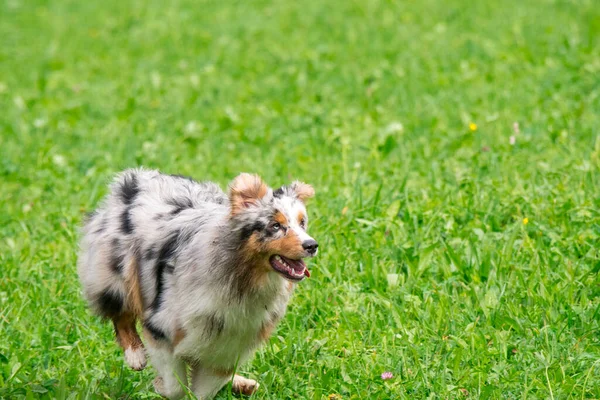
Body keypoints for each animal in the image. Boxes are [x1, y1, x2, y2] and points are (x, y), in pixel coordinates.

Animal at [78, 168, 318, 396]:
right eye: (276, 226)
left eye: (302, 223)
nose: (312, 245)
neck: (240, 279)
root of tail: (137, 178)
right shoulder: (161, 328)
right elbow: (175, 386)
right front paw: (159, 384)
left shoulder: (228, 347)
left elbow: (205, 389)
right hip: (115, 275)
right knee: (121, 316)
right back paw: (135, 355)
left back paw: (242, 383)